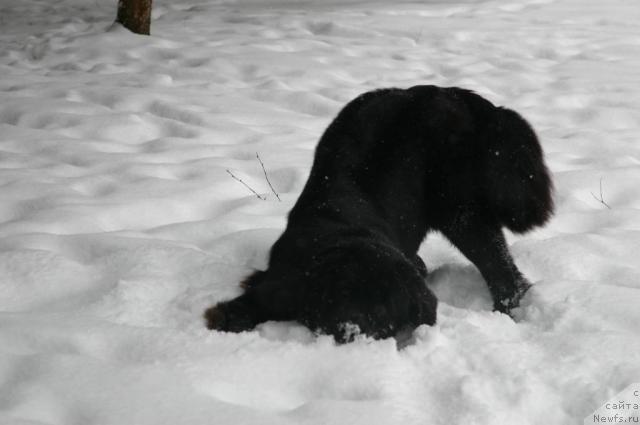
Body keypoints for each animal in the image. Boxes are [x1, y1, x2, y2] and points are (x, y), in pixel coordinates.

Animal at [204, 85, 552, 342]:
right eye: (341, 306)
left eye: (386, 316)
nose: (356, 336)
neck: (336, 233)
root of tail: (452, 93)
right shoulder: (282, 283)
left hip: (459, 209)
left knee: (503, 272)